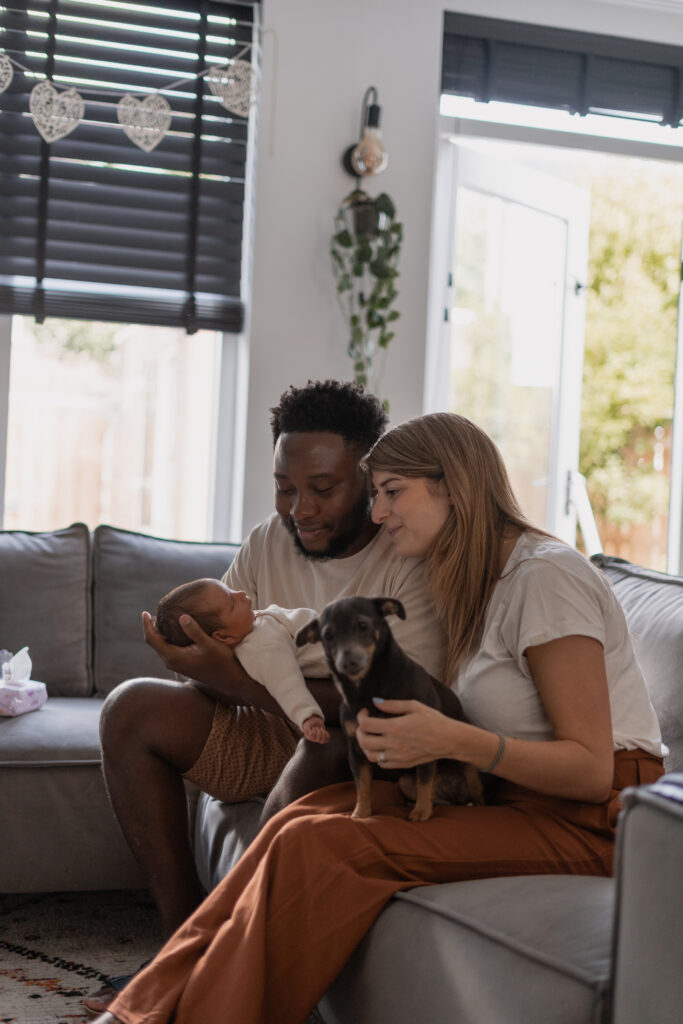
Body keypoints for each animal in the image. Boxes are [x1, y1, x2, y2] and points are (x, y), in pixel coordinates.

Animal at [296, 598, 483, 819]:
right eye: (327, 636)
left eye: (363, 626)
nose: (348, 662)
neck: (366, 690)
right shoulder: (357, 751)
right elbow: (363, 785)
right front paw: (361, 813)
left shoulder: (424, 740)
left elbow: (424, 779)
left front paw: (421, 812)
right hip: (404, 782)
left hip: (470, 772)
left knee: (473, 795)